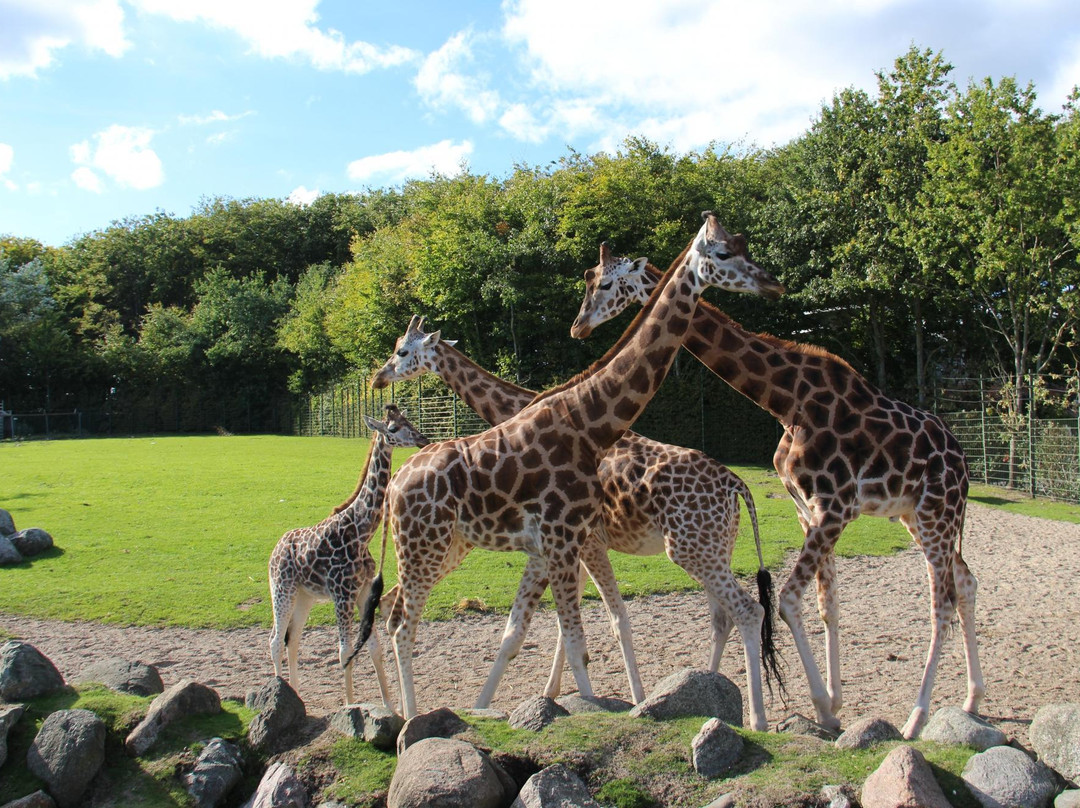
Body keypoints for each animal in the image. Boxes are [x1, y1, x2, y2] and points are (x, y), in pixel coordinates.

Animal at [267, 404, 427, 708]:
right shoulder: (342, 594)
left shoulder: (363, 591)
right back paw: (279, 693)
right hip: (282, 589)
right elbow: (345, 651)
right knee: (275, 639)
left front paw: (390, 708)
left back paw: (295, 694)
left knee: (292, 639)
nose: (423, 439)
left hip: (304, 596)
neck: (361, 532)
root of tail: (275, 549)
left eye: (409, 420)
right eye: (393, 428)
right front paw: (351, 706)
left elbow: (374, 648)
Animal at [362, 214, 786, 721]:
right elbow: (566, 636)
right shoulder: (562, 541)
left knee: (742, 611)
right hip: (429, 549)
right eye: (723, 252)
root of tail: (737, 482)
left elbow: (569, 633)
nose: (378, 376)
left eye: (403, 351)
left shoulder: (567, 542)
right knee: (400, 622)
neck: (586, 421)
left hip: (694, 546)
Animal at [574, 229, 989, 738]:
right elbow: (826, 603)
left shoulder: (835, 508)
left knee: (942, 603)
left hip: (937, 514)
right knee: (966, 582)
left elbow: (790, 600)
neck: (787, 399)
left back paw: (917, 717)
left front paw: (822, 706)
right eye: (589, 279)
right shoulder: (808, 510)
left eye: (605, 284)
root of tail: (963, 459)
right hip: (918, 516)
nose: (579, 326)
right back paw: (972, 698)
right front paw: (832, 703)